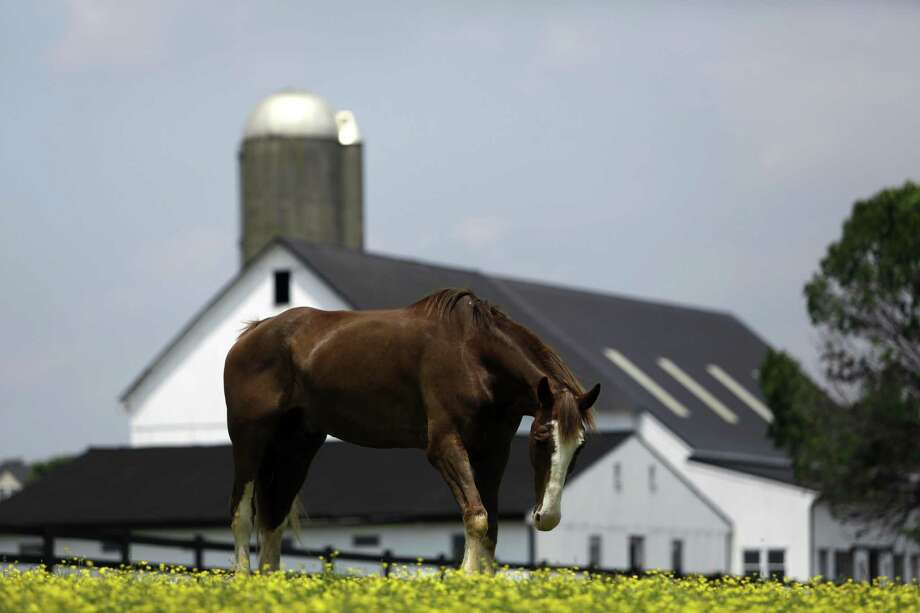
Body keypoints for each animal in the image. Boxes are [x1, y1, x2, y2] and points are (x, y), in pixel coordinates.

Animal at [223, 290, 596, 572]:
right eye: (541, 439)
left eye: (579, 447)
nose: (547, 517)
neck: (472, 356)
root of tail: (250, 334)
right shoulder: (444, 447)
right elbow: (476, 516)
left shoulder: (493, 452)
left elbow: (490, 526)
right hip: (249, 440)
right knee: (242, 515)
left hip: (297, 447)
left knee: (274, 519)